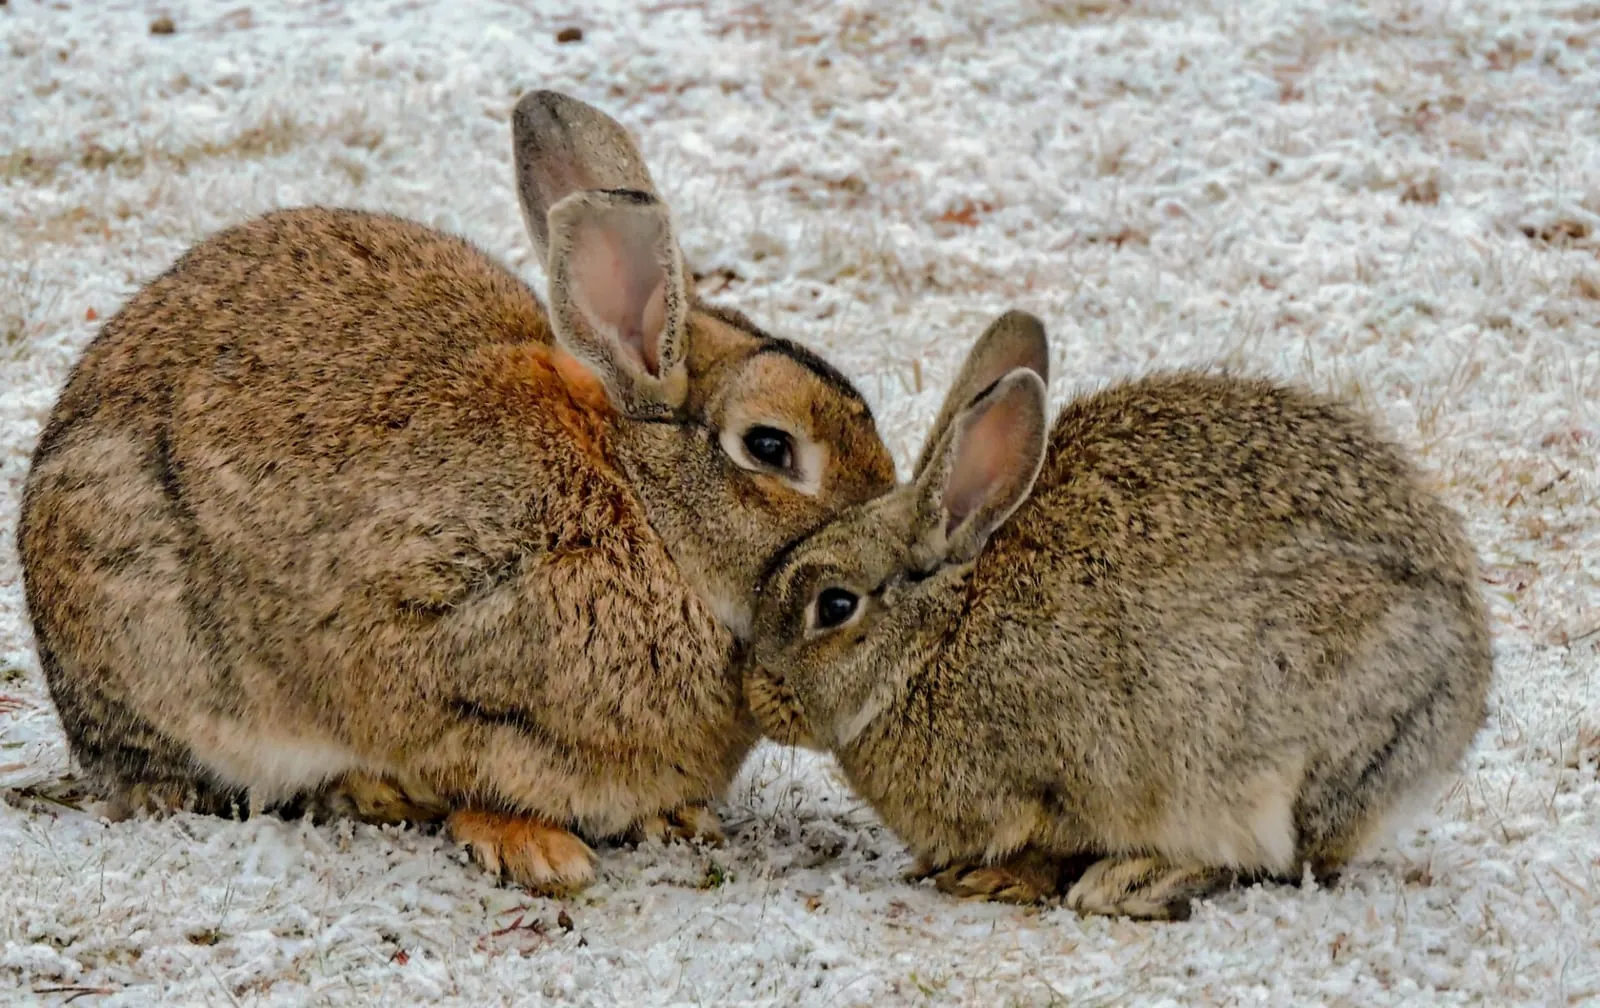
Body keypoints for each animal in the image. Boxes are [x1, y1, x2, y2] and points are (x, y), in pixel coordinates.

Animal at [16, 90, 896, 895]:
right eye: (771, 447)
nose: (890, 537)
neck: (640, 503)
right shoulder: (427, 642)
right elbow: (460, 769)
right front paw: (534, 849)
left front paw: (674, 818)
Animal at [742, 310, 1493, 920]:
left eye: (835, 606)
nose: (758, 694)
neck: (938, 635)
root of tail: (1464, 686)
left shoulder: (1060, 779)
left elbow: (1052, 844)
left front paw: (994, 880)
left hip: (1279, 746)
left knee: (1280, 859)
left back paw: (1133, 883)